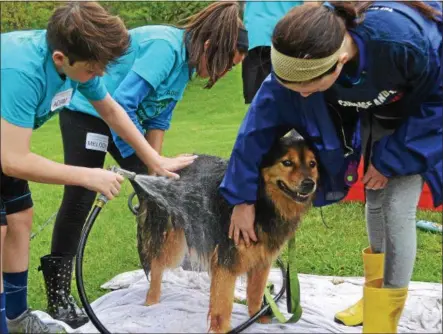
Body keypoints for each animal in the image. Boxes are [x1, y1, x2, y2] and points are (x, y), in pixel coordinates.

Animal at [135, 132, 320, 332]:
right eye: (287, 162)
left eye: (312, 164)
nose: (309, 184)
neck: (261, 201)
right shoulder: (227, 258)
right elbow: (222, 304)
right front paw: (222, 329)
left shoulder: (262, 260)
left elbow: (255, 293)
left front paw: (258, 317)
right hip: (172, 240)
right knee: (157, 265)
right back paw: (151, 300)